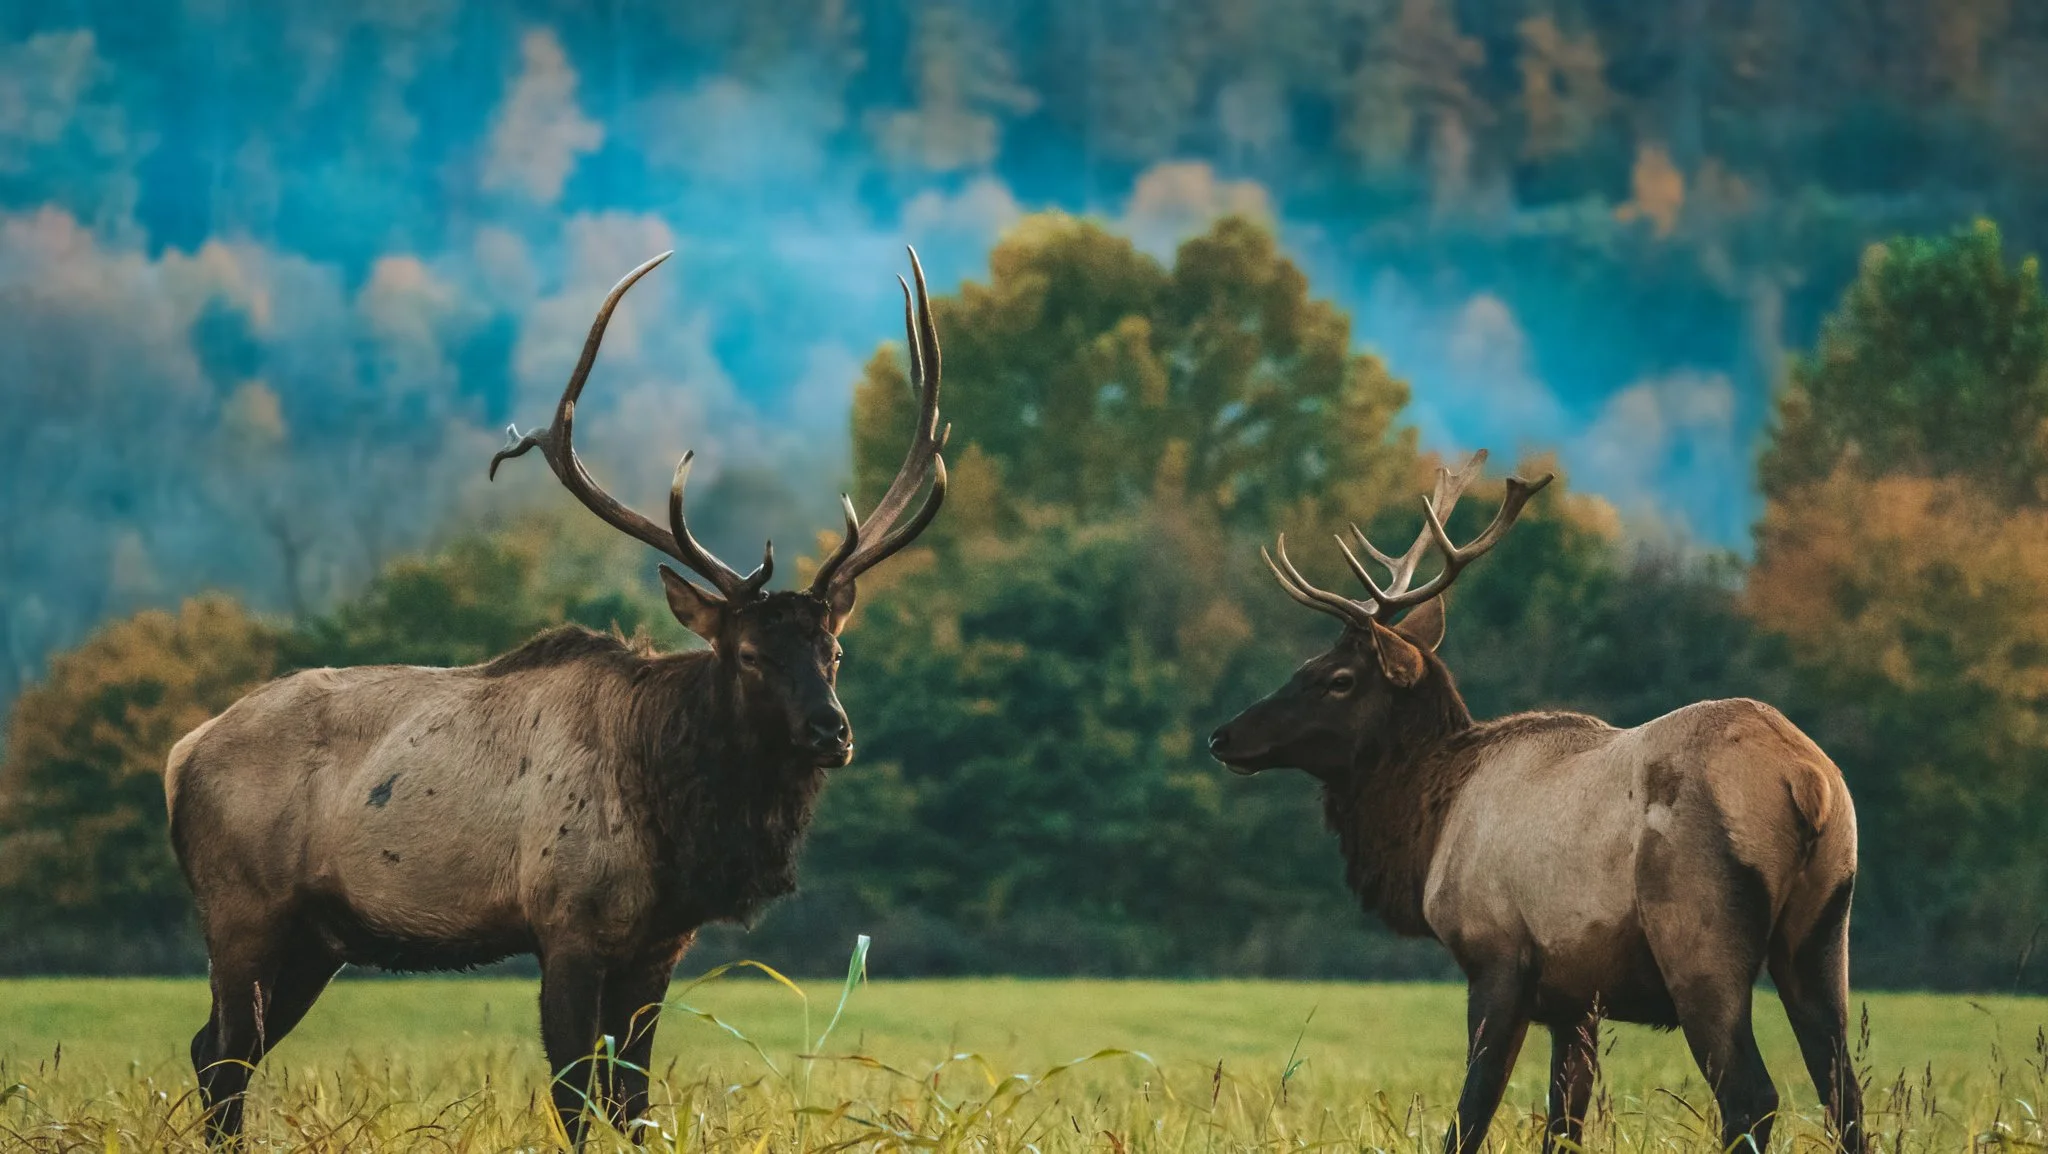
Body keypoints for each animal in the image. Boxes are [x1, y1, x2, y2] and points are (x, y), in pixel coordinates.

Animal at [163, 248, 951, 1147]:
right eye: (749, 654)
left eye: (834, 650)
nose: (831, 731)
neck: (673, 819)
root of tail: (181, 755)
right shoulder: (566, 919)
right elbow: (576, 1096)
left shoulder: (658, 944)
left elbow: (633, 1102)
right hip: (241, 909)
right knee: (224, 1056)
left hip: (316, 939)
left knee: (215, 1051)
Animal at [1207, 451, 1864, 1154]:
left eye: (1337, 679)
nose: (1224, 736)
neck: (1428, 828)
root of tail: (1807, 780)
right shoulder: (1575, 997)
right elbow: (1563, 1122)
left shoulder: (1498, 955)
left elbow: (1471, 1113)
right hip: (1823, 930)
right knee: (1842, 1091)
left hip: (1699, 935)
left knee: (1752, 1096)